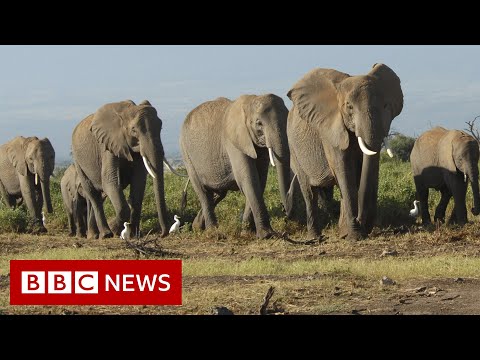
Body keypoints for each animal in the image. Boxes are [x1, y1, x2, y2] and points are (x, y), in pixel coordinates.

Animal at [71, 99, 182, 239]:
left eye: (160, 127)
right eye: (134, 130)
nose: (163, 234)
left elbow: (139, 183)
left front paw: (134, 233)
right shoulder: (107, 145)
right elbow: (110, 181)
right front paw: (115, 229)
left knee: (98, 197)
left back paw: (95, 235)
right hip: (78, 161)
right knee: (93, 195)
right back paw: (105, 234)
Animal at [179, 94, 288, 239]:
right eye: (259, 123)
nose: (287, 214)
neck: (250, 101)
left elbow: (259, 181)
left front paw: (246, 233)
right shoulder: (234, 142)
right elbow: (248, 180)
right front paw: (267, 235)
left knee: (218, 193)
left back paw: (196, 227)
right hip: (187, 155)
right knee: (203, 192)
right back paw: (213, 233)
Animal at [286, 63, 404, 240]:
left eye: (385, 106)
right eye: (349, 107)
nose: (362, 222)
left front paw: (349, 232)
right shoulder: (330, 131)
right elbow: (344, 171)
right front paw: (354, 235)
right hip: (294, 149)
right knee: (309, 192)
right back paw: (315, 237)